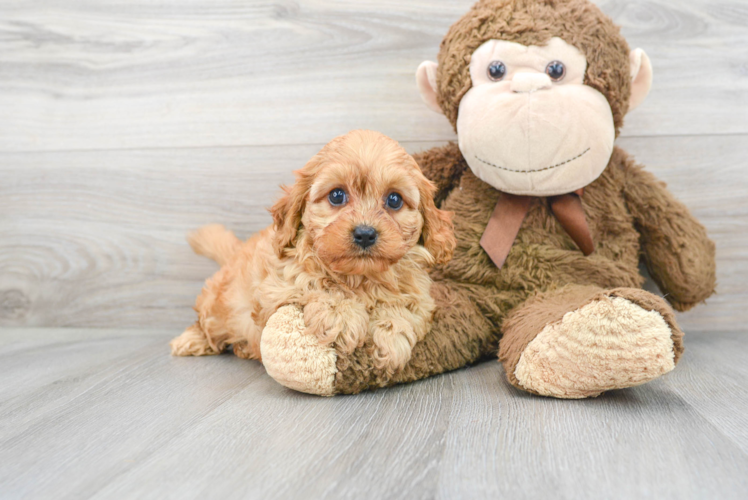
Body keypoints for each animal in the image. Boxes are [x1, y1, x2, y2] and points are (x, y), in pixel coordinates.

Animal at [171, 131, 456, 374]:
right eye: (337, 195)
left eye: (394, 200)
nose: (365, 233)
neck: (359, 278)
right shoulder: (275, 287)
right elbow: (313, 283)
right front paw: (341, 314)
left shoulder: (422, 298)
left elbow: (404, 307)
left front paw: (391, 335)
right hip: (219, 304)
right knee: (207, 323)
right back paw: (191, 341)